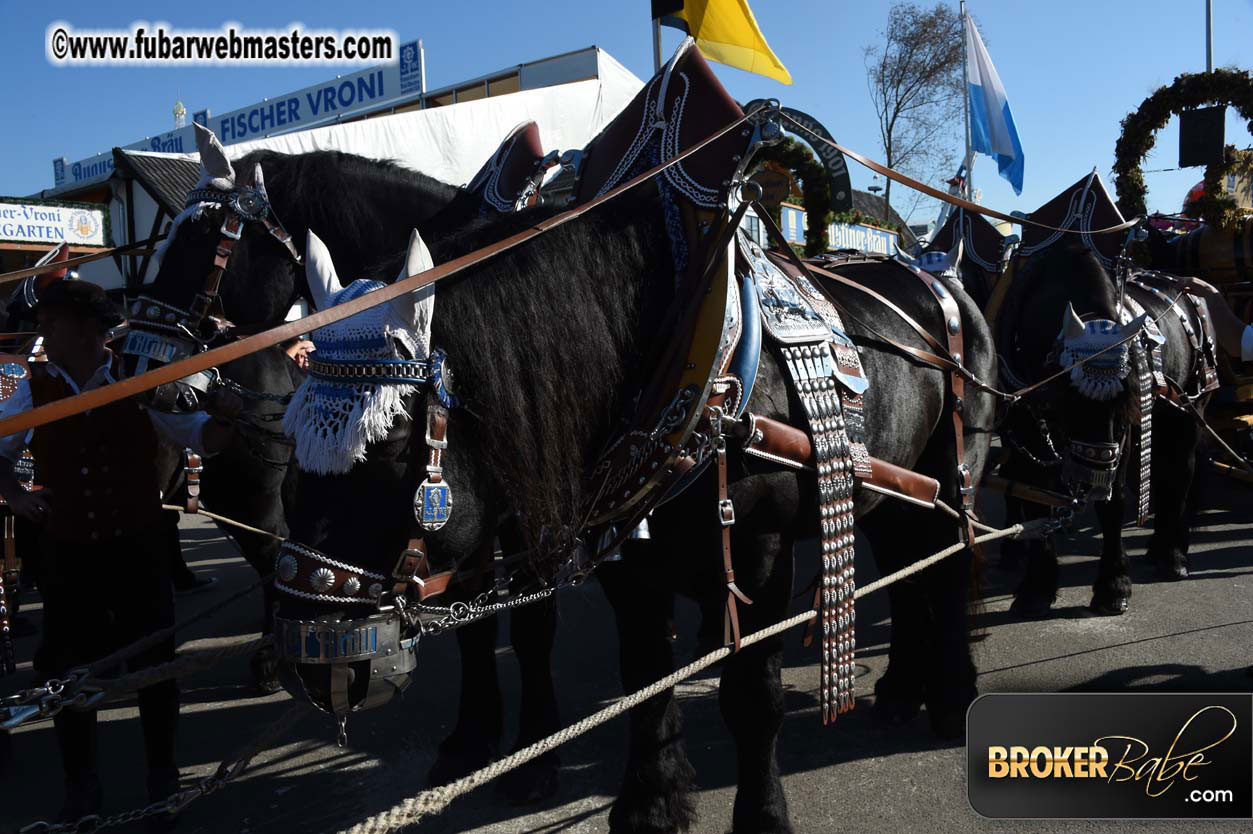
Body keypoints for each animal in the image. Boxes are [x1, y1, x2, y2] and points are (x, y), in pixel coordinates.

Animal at [992, 244, 1207, 613]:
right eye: (1067, 402)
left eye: (1121, 410)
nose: (1092, 477)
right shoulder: (1023, 434)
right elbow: (1033, 499)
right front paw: (1036, 588)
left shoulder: (1123, 437)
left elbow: (1112, 506)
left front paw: (1113, 586)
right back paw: (1157, 547)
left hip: (1187, 411)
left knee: (1181, 475)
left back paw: (1174, 554)